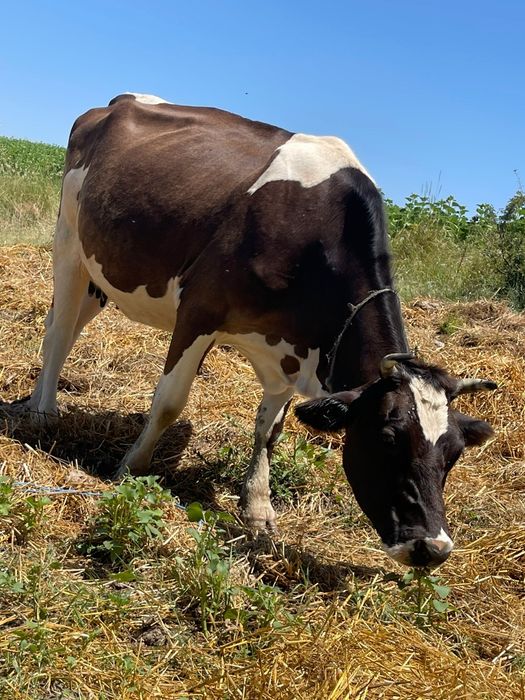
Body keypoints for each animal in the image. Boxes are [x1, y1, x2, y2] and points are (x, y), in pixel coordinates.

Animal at [17, 93, 496, 567]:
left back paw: (38, 400)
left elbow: (269, 431)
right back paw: (43, 413)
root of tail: (117, 101)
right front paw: (130, 468)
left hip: (103, 274)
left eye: (454, 454)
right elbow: (170, 402)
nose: (432, 547)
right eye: (387, 438)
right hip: (70, 241)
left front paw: (258, 508)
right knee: (58, 332)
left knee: (60, 328)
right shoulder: (199, 310)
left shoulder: (291, 352)